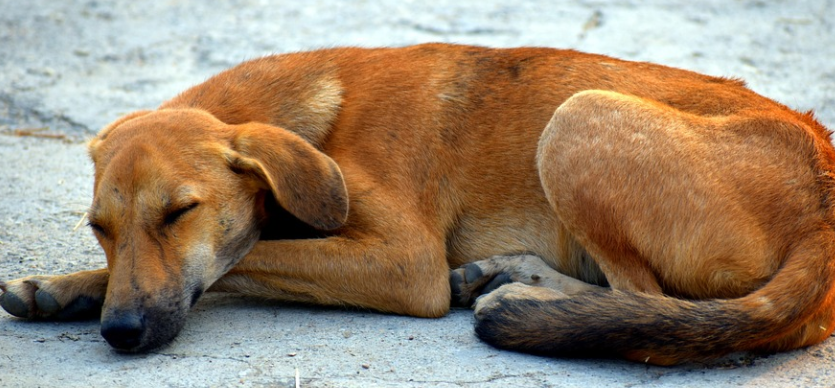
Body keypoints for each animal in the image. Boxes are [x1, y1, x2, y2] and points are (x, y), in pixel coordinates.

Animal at [1, 44, 835, 366]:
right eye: (100, 229)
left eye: (180, 213)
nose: (121, 334)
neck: (321, 119)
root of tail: (824, 195)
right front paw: (62, 287)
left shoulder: (405, 264)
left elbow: (248, 255)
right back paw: (513, 276)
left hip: (578, 117)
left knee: (650, 311)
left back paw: (530, 299)